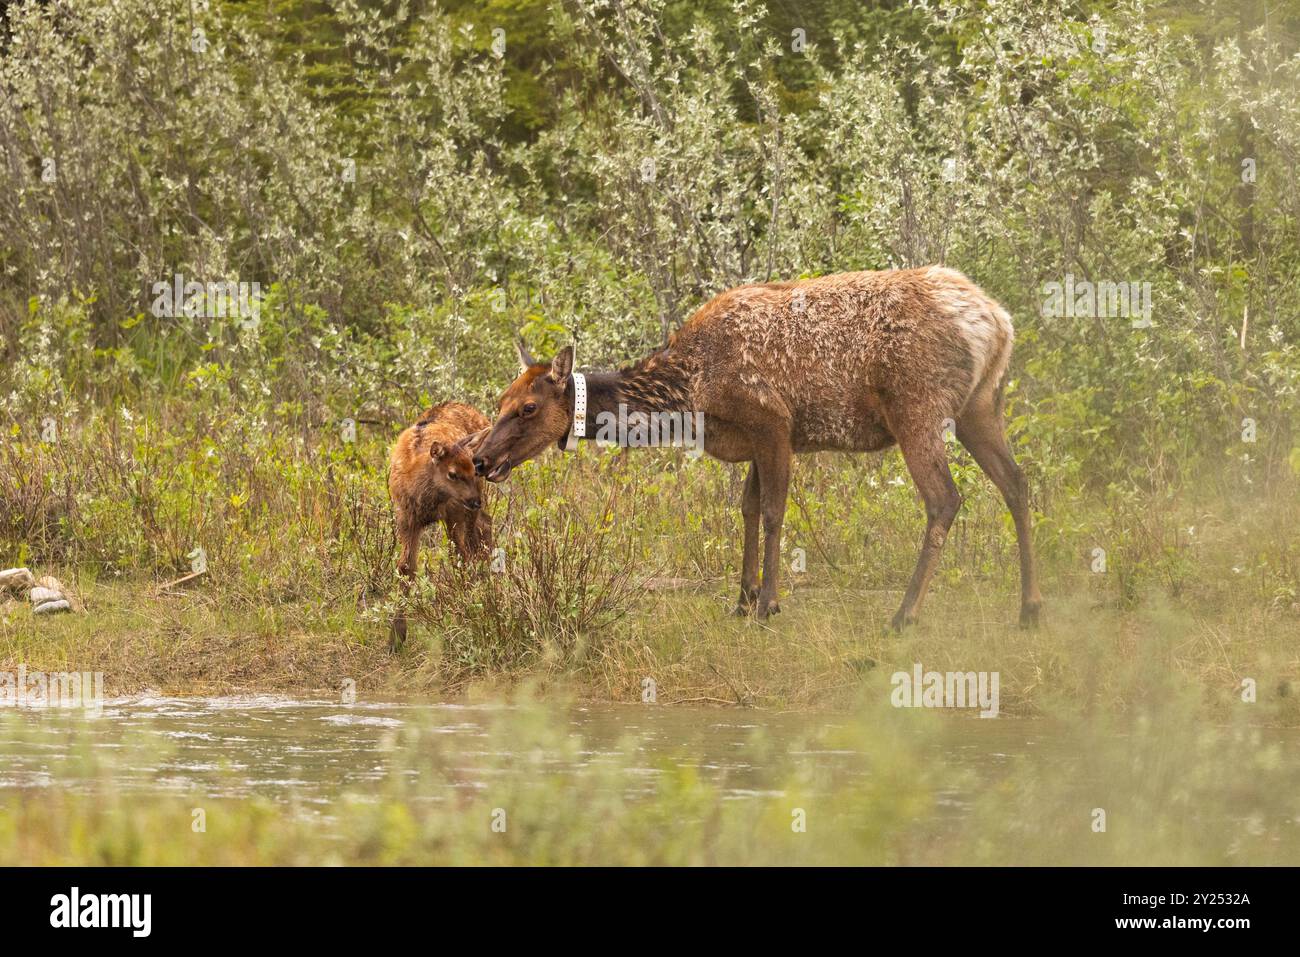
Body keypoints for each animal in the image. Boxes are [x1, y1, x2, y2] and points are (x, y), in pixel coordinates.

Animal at [384, 400, 491, 647]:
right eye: (452, 473)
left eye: (474, 470)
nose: (475, 501)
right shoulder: (407, 518)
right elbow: (405, 567)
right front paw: (396, 636)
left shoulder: (453, 513)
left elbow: (459, 558)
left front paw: (469, 613)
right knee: (484, 528)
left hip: (467, 509)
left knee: (477, 538)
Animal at [473, 265, 1040, 631]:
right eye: (500, 400)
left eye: (527, 408)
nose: (480, 458)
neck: (692, 395)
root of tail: (997, 321)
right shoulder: (752, 439)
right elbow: (745, 509)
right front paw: (742, 599)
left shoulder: (773, 422)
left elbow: (771, 512)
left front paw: (768, 604)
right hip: (981, 406)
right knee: (1017, 483)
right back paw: (1030, 609)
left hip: (917, 408)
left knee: (945, 499)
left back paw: (905, 614)